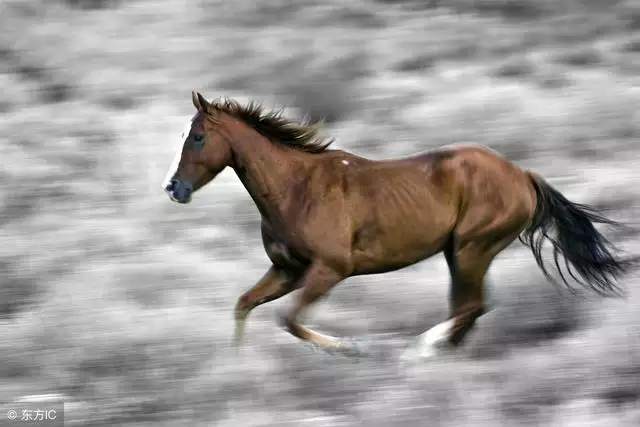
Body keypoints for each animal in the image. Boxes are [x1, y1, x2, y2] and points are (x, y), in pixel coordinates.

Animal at [161, 91, 636, 362]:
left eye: (197, 137)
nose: (173, 187)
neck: (296, 188)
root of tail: (523, 176)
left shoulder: (329, 270)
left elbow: (289, 320)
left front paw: (352, 349)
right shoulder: (288, 270)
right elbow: (244, 305)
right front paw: (235, 363)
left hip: (471, 249)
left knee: (471, 308)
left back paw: (419, 351)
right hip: (458, 253)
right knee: (468, 310)